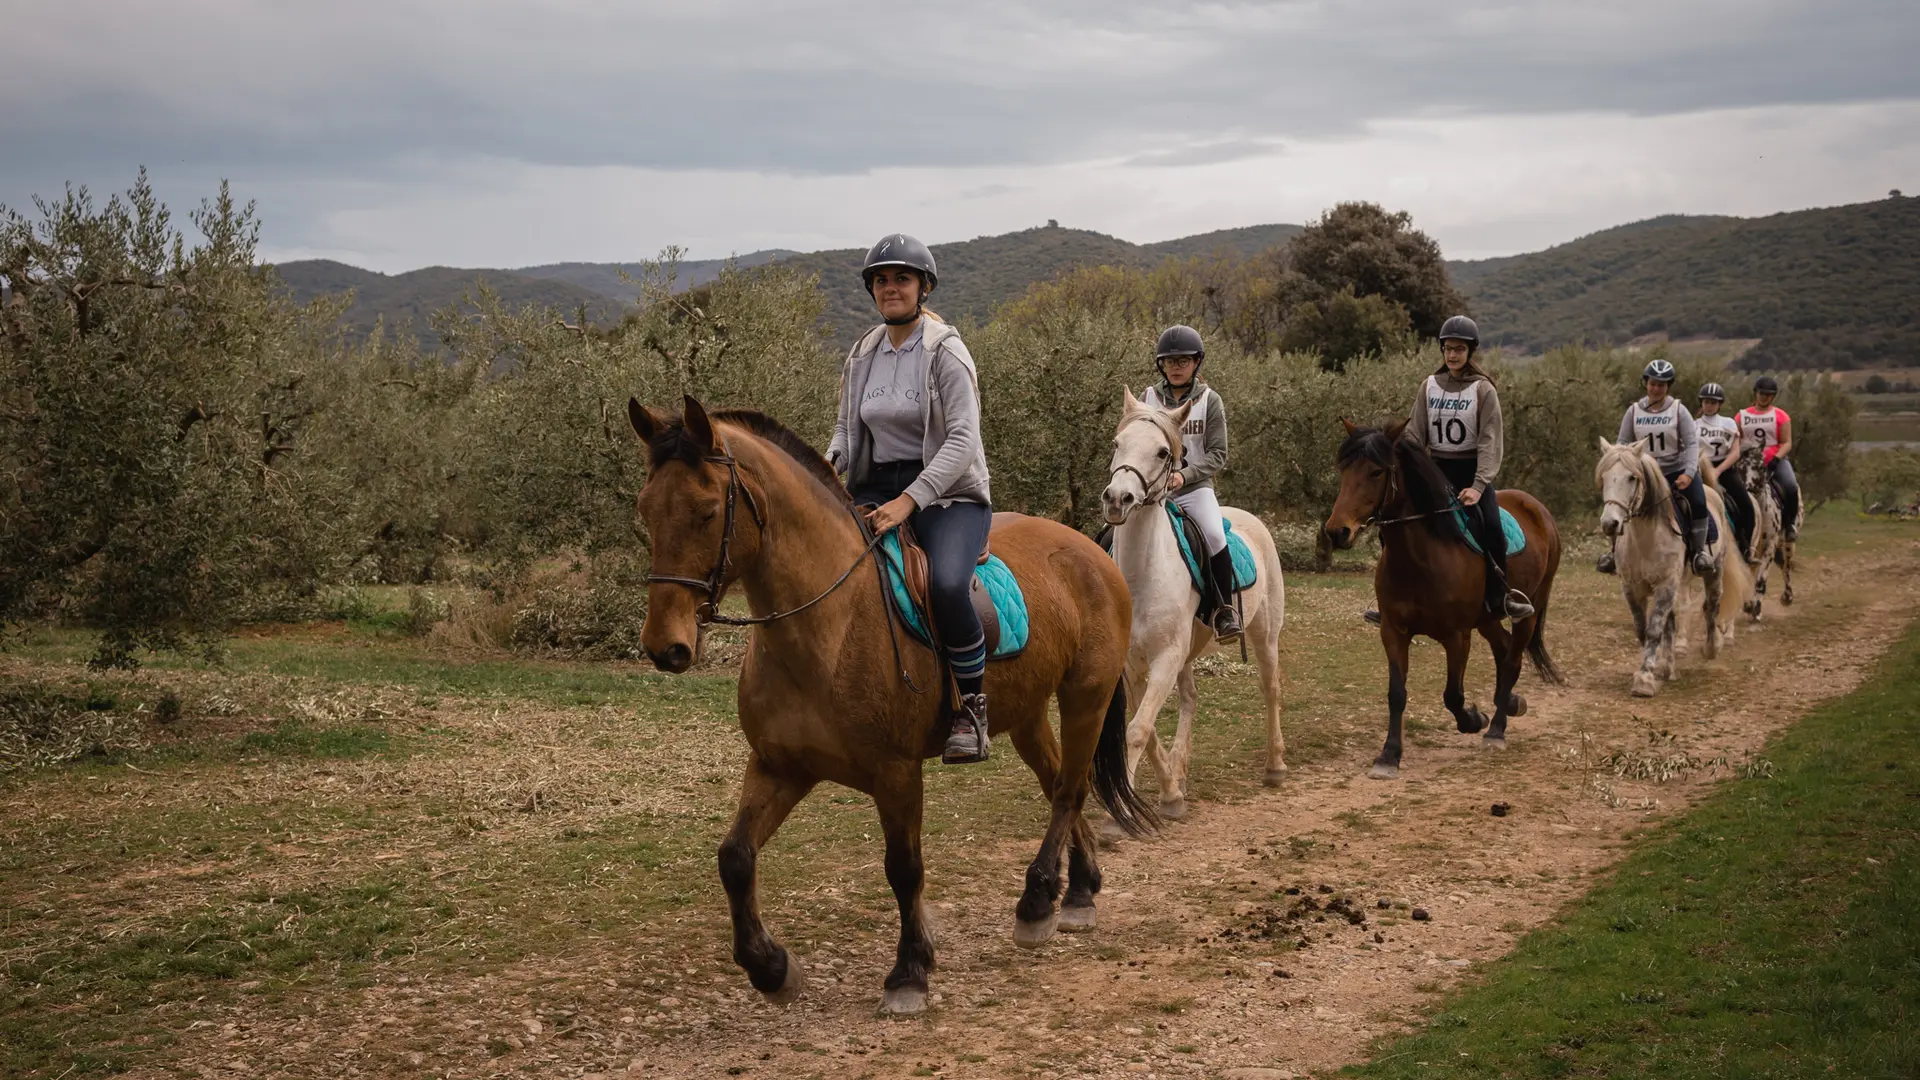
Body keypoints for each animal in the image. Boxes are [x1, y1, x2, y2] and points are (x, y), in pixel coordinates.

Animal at [629, 393, 1144, 1006]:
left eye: (707, 512)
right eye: (645, 512)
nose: (665, 646)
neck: (829, 624)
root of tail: (1093, 550)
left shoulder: (895, 771)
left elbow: (903, 867)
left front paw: (910, 971)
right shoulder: (780, 766)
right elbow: (734, 857)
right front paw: (771, 968)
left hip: (1086, 696)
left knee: (1068, 791)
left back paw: (1037, 902)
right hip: (1027, 717)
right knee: (1061, 784)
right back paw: (1079, 892)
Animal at [1098, 386, 1290, 822]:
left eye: (1162, 452)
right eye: (1117, 444)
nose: (1117, 499)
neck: (1141, 576)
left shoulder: (1165, 657)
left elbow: (1138, 730)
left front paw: (1122, 816)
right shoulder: (1133, 665)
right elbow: (1147, 728)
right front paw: (1169, 792)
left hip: (1263, 633)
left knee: (1270, 687)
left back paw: (1274, 766)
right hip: (1190, 648)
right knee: (1190, 698)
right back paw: (1179, 773)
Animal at [1328, 417, 1566, 776]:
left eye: (1376, 472)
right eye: (1344, 468)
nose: (1336, 531)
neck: (1421, 557)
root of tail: (1537, 507)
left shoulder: (1457, 636)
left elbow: (1453, 695)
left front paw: (1474, 719)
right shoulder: (1393, 632)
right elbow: (1396, 693)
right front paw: (1389, 755)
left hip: (1531, 608)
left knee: (1512, 659)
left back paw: (1496, 729)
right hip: (1486, 617)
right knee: (1504, 647)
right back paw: (1510, 702)